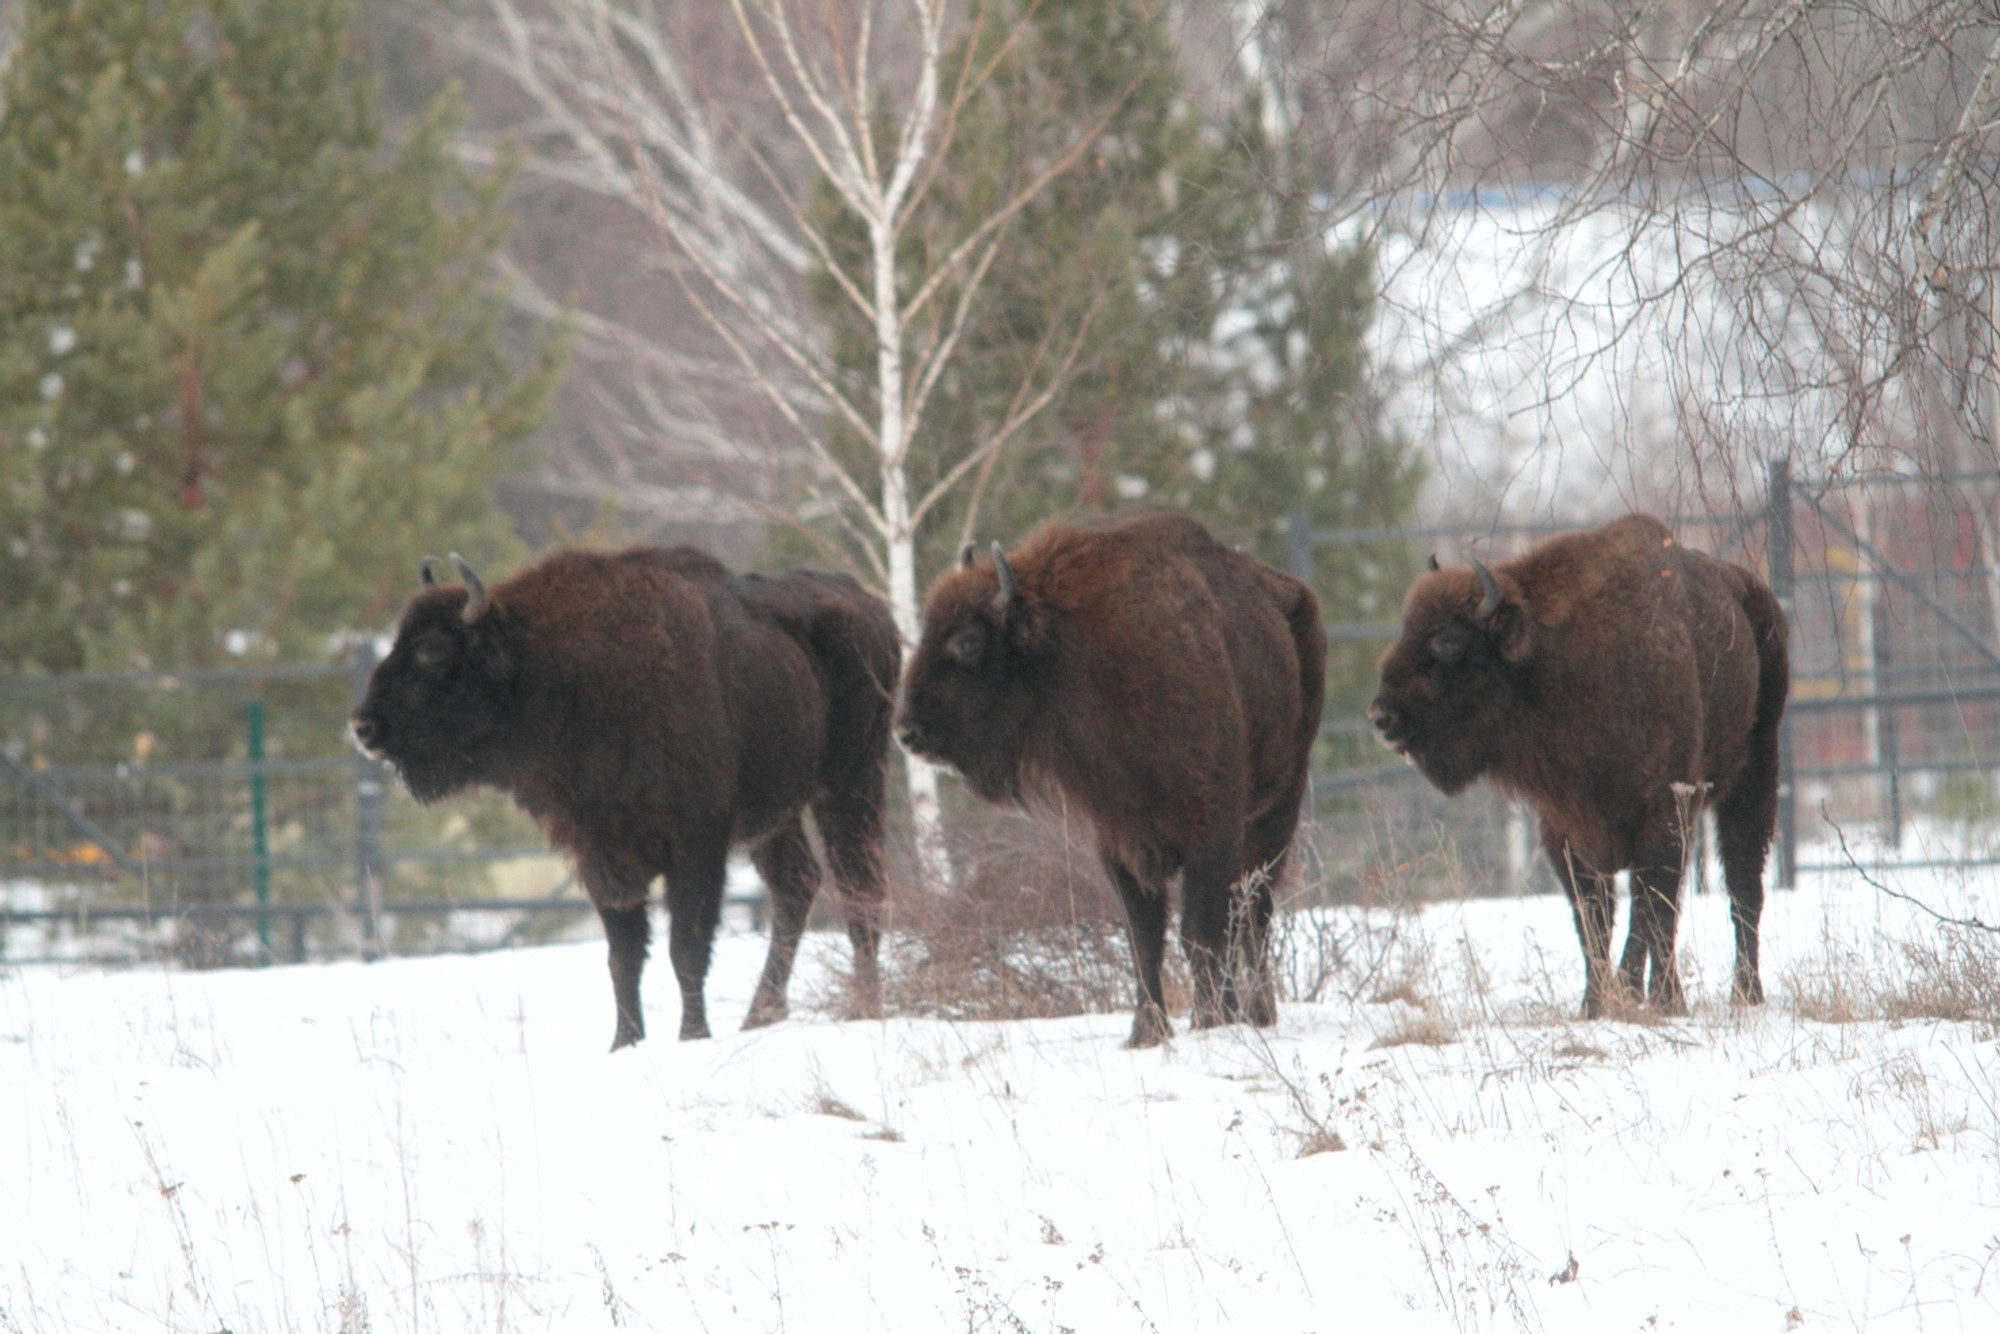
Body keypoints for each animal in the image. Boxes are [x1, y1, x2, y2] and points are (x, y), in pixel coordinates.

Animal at [352, 548, 900, 1048]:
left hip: (852, 783)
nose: (363, 727)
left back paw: (864, 1007)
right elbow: (624, 956)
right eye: (398, 642)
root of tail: (871, 604)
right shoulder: (600, 855)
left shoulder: (696, 847)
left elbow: (686, 949)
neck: (551, 667)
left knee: (860, 887)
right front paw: (624, 1043)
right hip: (775, 816)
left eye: (435, 652)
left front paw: (692, 1037)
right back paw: (760, 1016)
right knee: (797, 885)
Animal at [900, 516, 1320, 1048]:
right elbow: (1144, 937)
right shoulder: (1119, 840)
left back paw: (1259, 1011)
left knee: (1255, 915)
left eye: (968, 642)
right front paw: (1147, 1032)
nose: (907, 732)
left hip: (1278, 810)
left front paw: (1210, 1020)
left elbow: (1201, 931)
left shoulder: (1213, 831)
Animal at [1368, 516, 1792, 1016]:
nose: (1382, 717)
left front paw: (1654, 1000)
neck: (1557, 666)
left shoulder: (1664, 811)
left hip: (1756, 775)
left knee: (1744, 887)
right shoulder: (1565, 829)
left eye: (1450, 641)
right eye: (1406, 629)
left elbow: (1653, 907)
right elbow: (1595, 919)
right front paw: (1594, 1006)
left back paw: (1746, 994)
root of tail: (1757, 597)